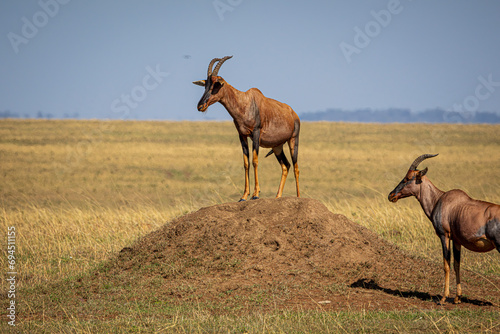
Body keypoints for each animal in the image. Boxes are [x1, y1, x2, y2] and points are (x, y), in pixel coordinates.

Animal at [193, 56, 298, 201]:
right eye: (206, 85)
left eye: (216, 85)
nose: (200, 106)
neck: (245, 102)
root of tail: (293, 113)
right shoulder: (242, 135)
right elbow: (246, 163)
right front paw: (243, 196)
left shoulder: (256, 134)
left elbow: (255, 161)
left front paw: (255, 194)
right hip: (277, 146)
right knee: (286, 165)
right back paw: (278, 196)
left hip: (293, 140)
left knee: (296, 167)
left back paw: (298, 196)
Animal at [388, 154, 500, 306]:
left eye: (407, 178)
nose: (391, 195)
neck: (440, 199)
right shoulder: (457, 240)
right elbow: (456, 264)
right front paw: (457, 298)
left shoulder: (444, 236)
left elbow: (446, 264)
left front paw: (443, 298)